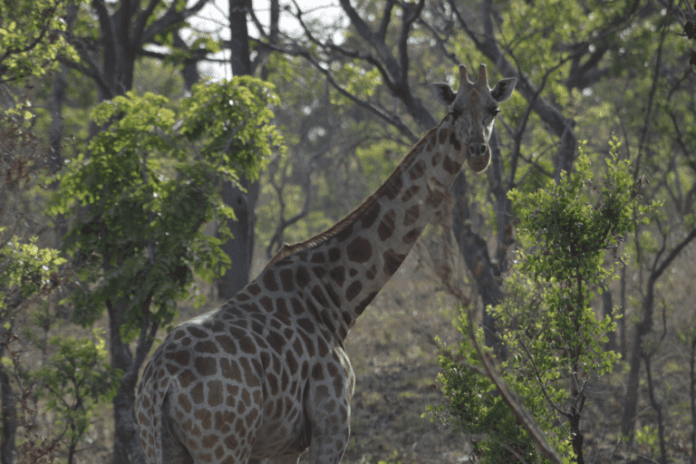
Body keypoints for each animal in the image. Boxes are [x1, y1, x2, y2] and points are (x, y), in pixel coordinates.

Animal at [135, 64, 516, 464]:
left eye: (494, 109)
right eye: (454, 111)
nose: (478, 153)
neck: (336, 297)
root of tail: (161, 383)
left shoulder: (282, 445)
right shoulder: (331, 426)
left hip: (160, 444)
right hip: (224, 446)